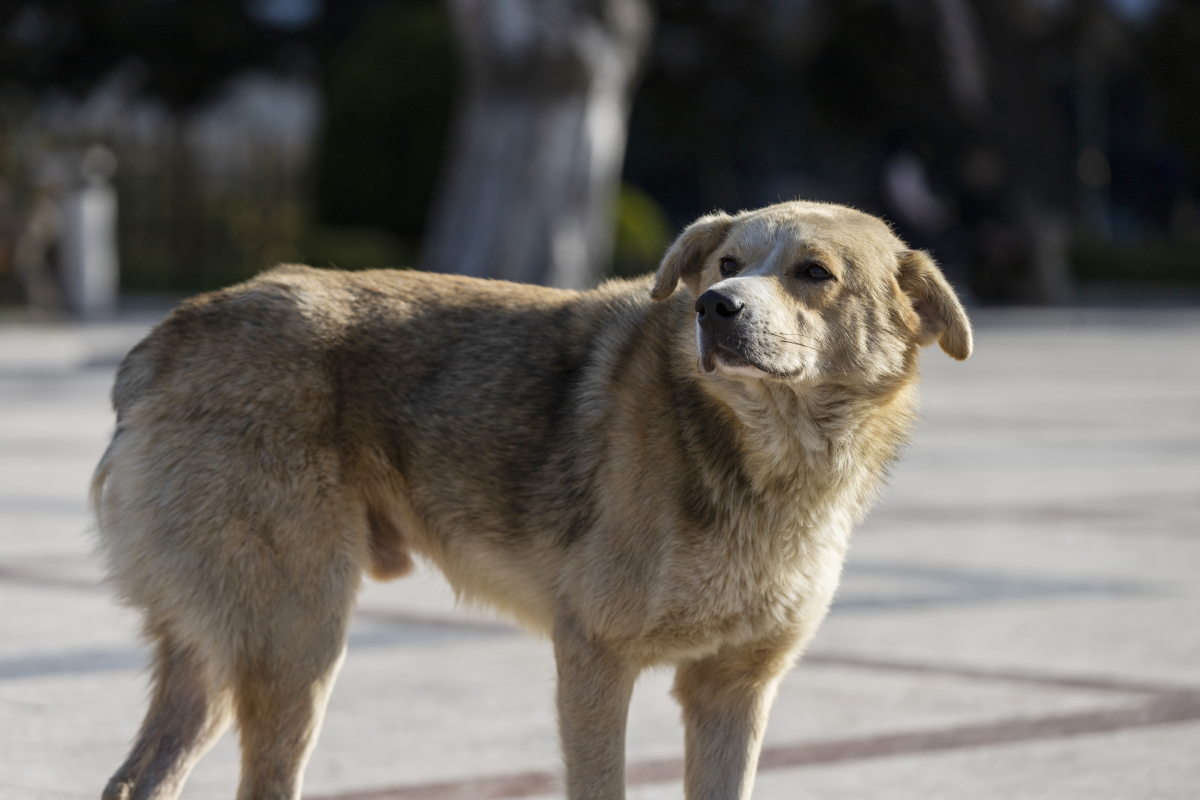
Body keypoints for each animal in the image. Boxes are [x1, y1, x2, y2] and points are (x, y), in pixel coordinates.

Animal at [88, 200, 969, 800]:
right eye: (726, 264)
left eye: (813, 273)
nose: (711, 309)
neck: (766, 457)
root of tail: (169, 336)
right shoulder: (594, 659)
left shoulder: (733, 690)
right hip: (294, 638)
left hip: (225, 649)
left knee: (136, 781)